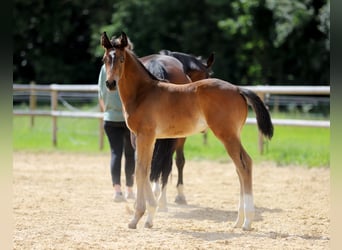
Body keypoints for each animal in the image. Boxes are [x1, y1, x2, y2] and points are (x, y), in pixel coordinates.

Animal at [101, 32, 272, 231]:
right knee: (241, 167)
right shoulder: (147, 138)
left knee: (244, 166)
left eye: (121, 59)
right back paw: (238, 220)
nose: (110, 83)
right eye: (105, 59)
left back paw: (247, 221)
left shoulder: (145, 136)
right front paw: (149, 218)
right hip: (233, 136)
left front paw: (137, 218)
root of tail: (238, 89)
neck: (143, 92)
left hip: (227, 135)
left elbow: (142, 170)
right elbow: (146, 169)